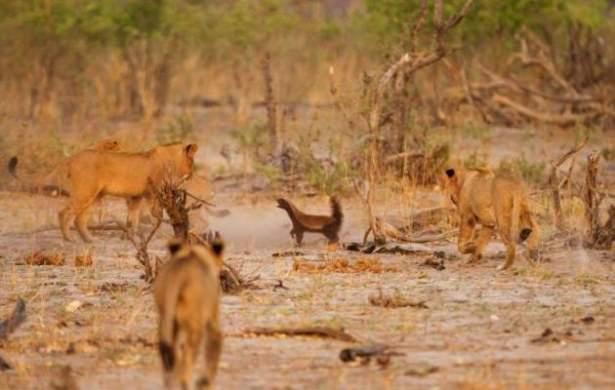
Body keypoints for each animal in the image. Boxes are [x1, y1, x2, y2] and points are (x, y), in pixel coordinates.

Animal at [9, 142, 199, 242]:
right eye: (191, 161)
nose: (192, 174)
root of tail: (72, 158)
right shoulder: (154, 193)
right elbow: (156, 215)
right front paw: (158, 232)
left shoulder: (135, 197)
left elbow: (132, 219)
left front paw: (130, 236)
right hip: (85, 193)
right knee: (64, 213)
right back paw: (69, 238)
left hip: (92, 196)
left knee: (79, 219)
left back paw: (89, 239)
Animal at [154, 239, 224, 388]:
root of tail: (181, 272)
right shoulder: (213, 319)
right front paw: (204, 382)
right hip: (195, 326)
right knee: (185, 364)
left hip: (166, 321)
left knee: (170, 360)